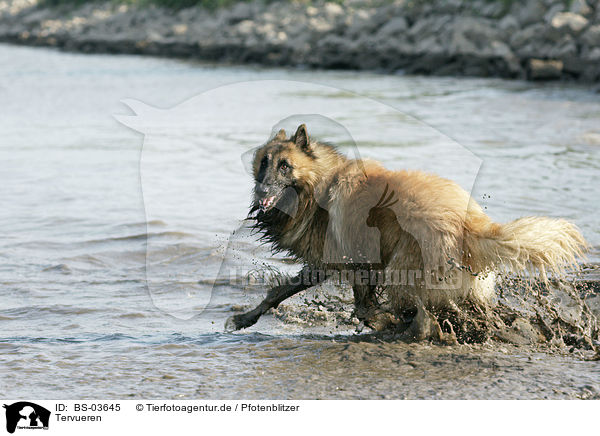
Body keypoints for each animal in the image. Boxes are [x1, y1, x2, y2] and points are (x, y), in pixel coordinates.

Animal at [224, 124, 584, 332]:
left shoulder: (354, 262)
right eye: (263, 163)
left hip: (402, 270)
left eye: (285, 166)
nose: (261, 191)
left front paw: (381, 321)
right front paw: (245, 318)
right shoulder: (327, 263)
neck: (320, 185)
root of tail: (472, 224)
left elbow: (363, 309)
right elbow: (279, 292)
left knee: (420, 313)